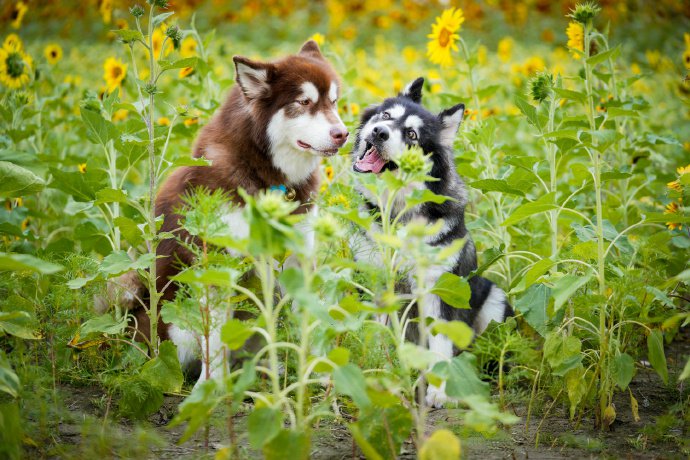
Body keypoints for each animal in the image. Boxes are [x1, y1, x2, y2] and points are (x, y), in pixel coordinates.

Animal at [115, 39, 350, 384]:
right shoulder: (219, 263)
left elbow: (310, 316)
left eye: (333, 102)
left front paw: (317, 373)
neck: (266, 173)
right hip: (176, 322)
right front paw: (211, 388)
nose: (342, 134)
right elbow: (215, 339)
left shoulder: (299, 254)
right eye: (304, 102)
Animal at [352, 78, 508, 406]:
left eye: (412, 134)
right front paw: (381, 376)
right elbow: (377, 336)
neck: (399, 213)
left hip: (494, 300)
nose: (379, 132)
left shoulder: (439, 289)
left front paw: (440, 390)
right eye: (386, 116)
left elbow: (440, 345)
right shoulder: (376, 283)